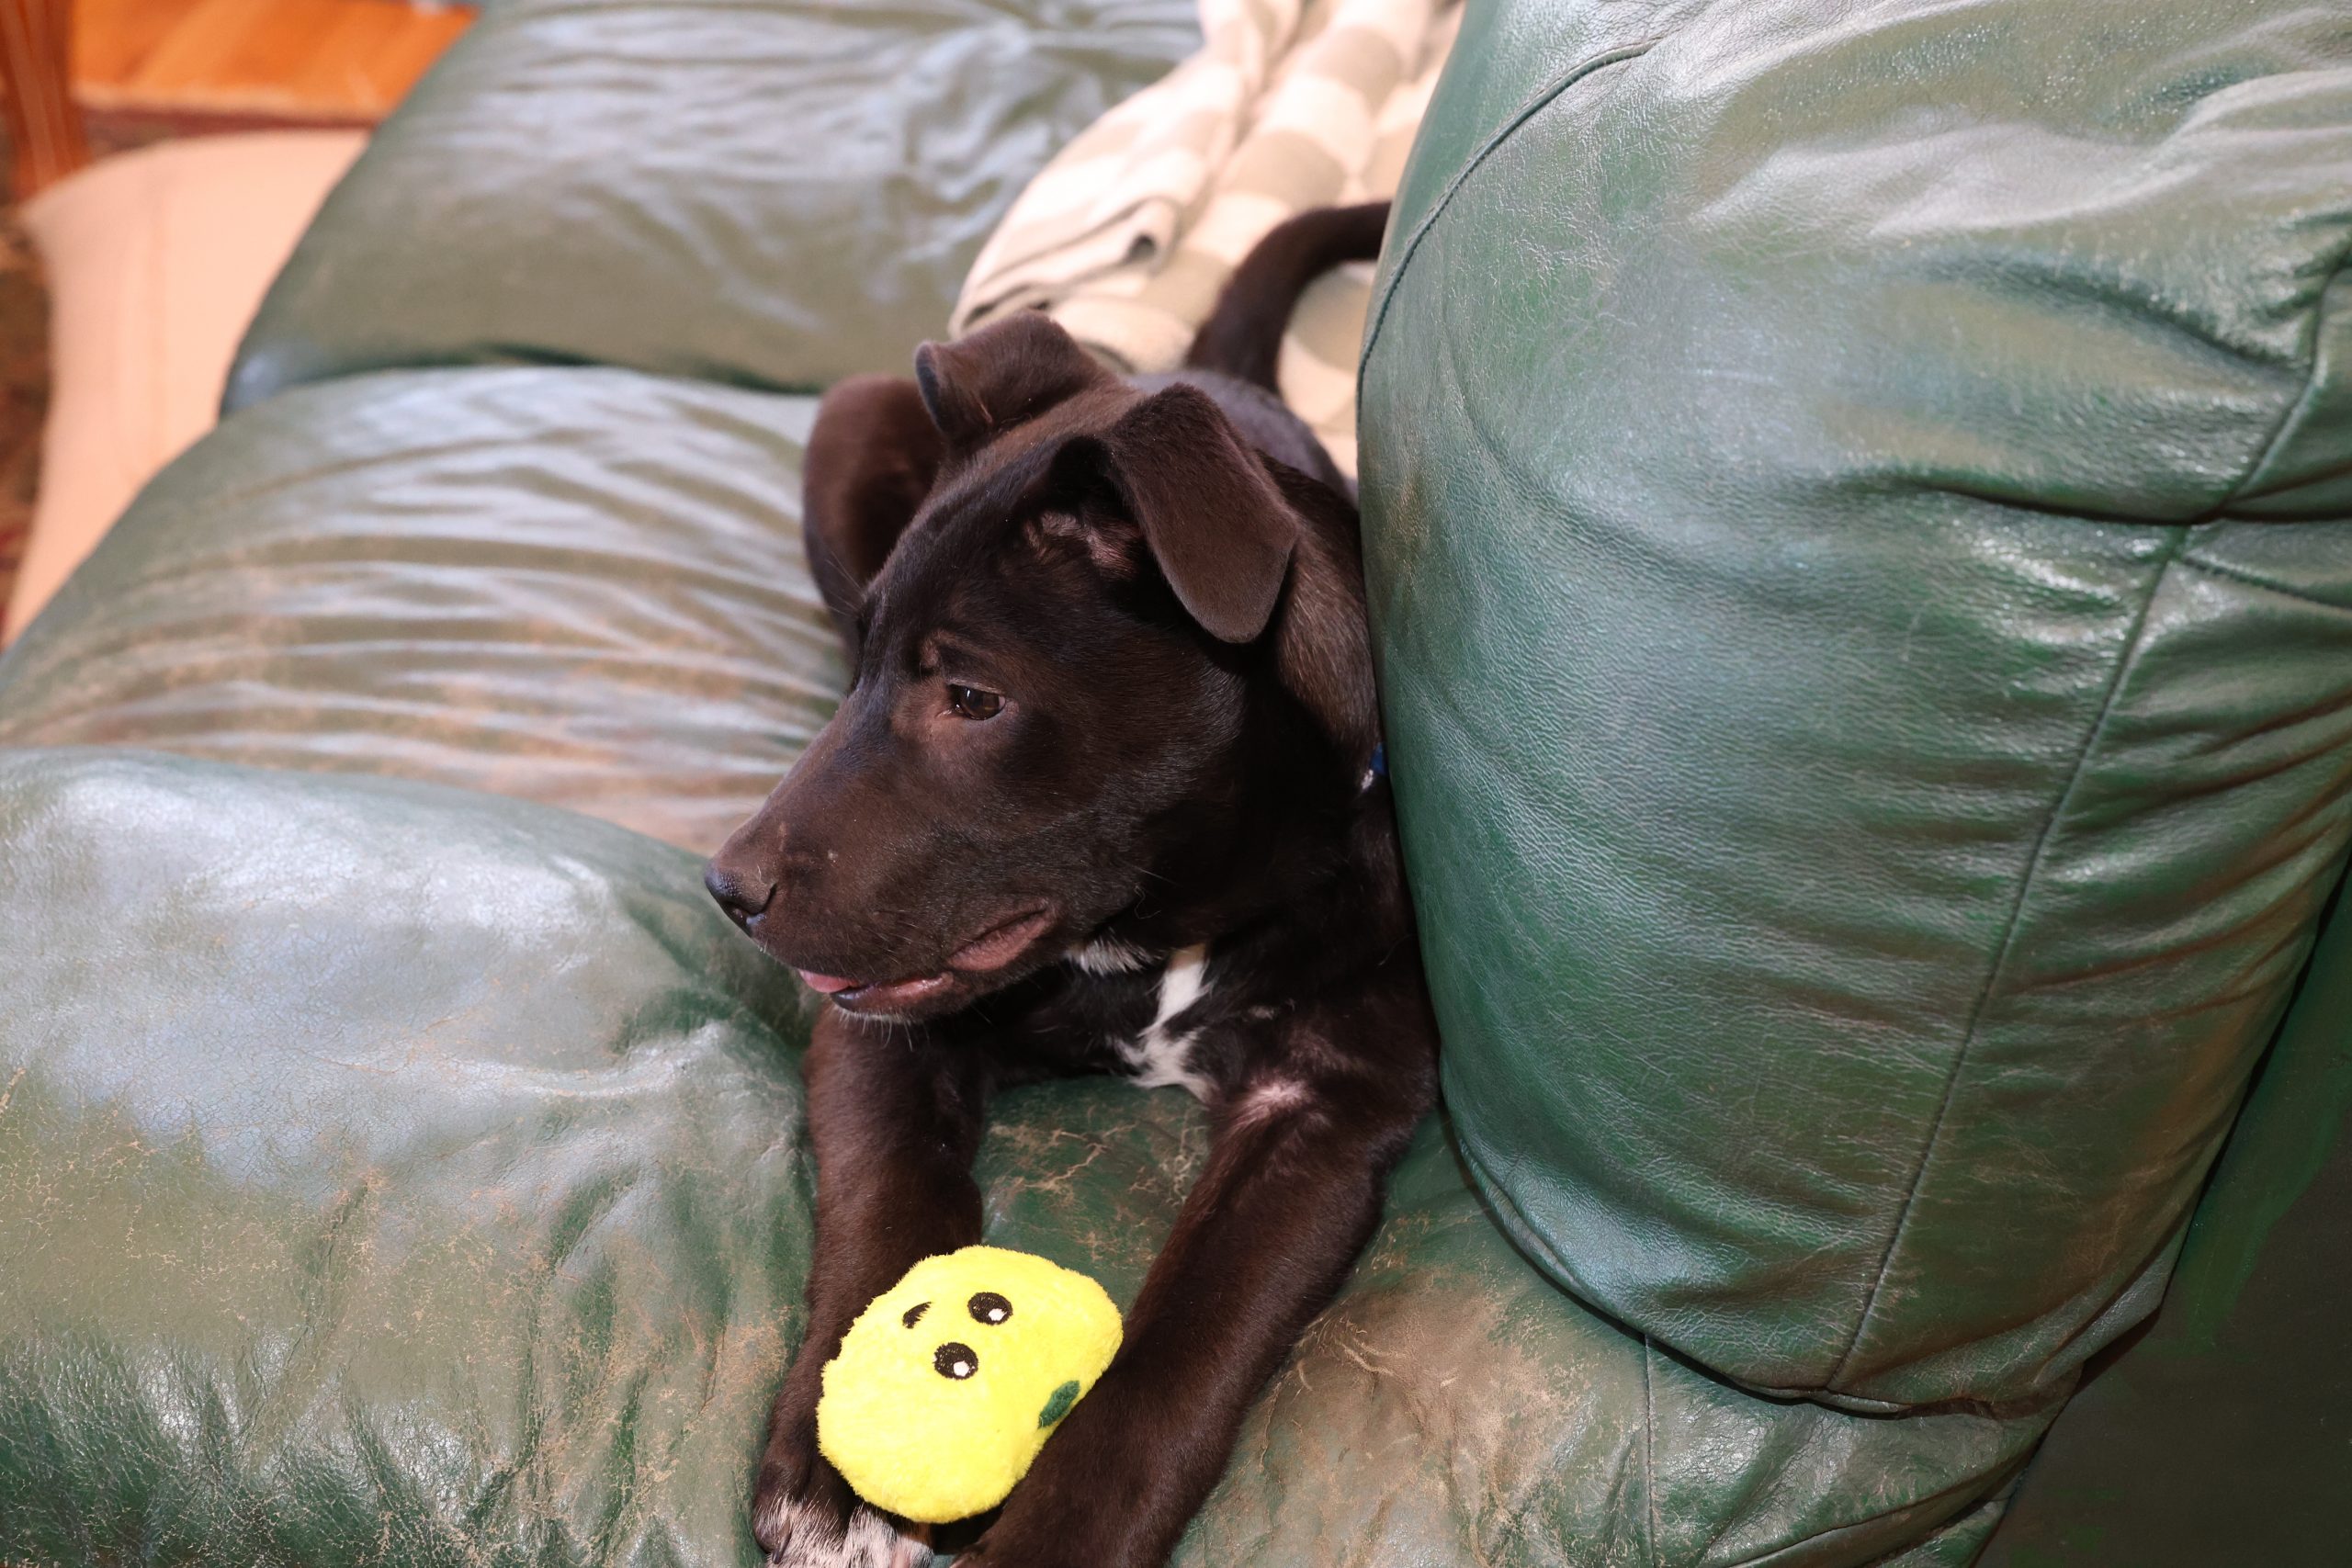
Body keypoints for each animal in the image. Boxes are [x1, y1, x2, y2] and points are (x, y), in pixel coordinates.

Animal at [706, 200, 1438, 1568]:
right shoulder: (879, 1027)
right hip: (853, 418)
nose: (726, 886)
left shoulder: (1326, 1112)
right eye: (879, 663)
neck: (1169, 938)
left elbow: (1180, 1361)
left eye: (972, 697)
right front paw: (847, 1474)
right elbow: (892, 1204)